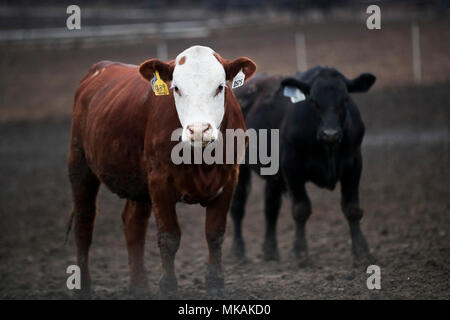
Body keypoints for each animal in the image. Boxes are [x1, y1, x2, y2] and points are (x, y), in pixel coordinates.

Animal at [67, 45, 256, 298]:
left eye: (220, 86)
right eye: (176, 88)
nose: (198, 130)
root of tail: (99, 68)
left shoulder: (229, 178)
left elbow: (215, 234)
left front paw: (215, 284)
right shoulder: (159, 181)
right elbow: (169, 236)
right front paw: (168, 288)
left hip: (137, 182)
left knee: (133, 223)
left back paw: (139, 286)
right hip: (79, 164)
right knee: (84, 222)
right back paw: (83, 288)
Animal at [232, 66, 376, 266]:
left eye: (345, 100)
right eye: (313, 101)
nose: (330, 133)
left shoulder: (354, 166)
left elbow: (352, 209)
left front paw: (361, 252)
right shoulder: (292, 168)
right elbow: (301, 209)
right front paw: (300, 253)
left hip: (274, 175)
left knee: (271, 208)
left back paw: (271, 252)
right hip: (238, 167)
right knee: (238, 207)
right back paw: (238, 251)